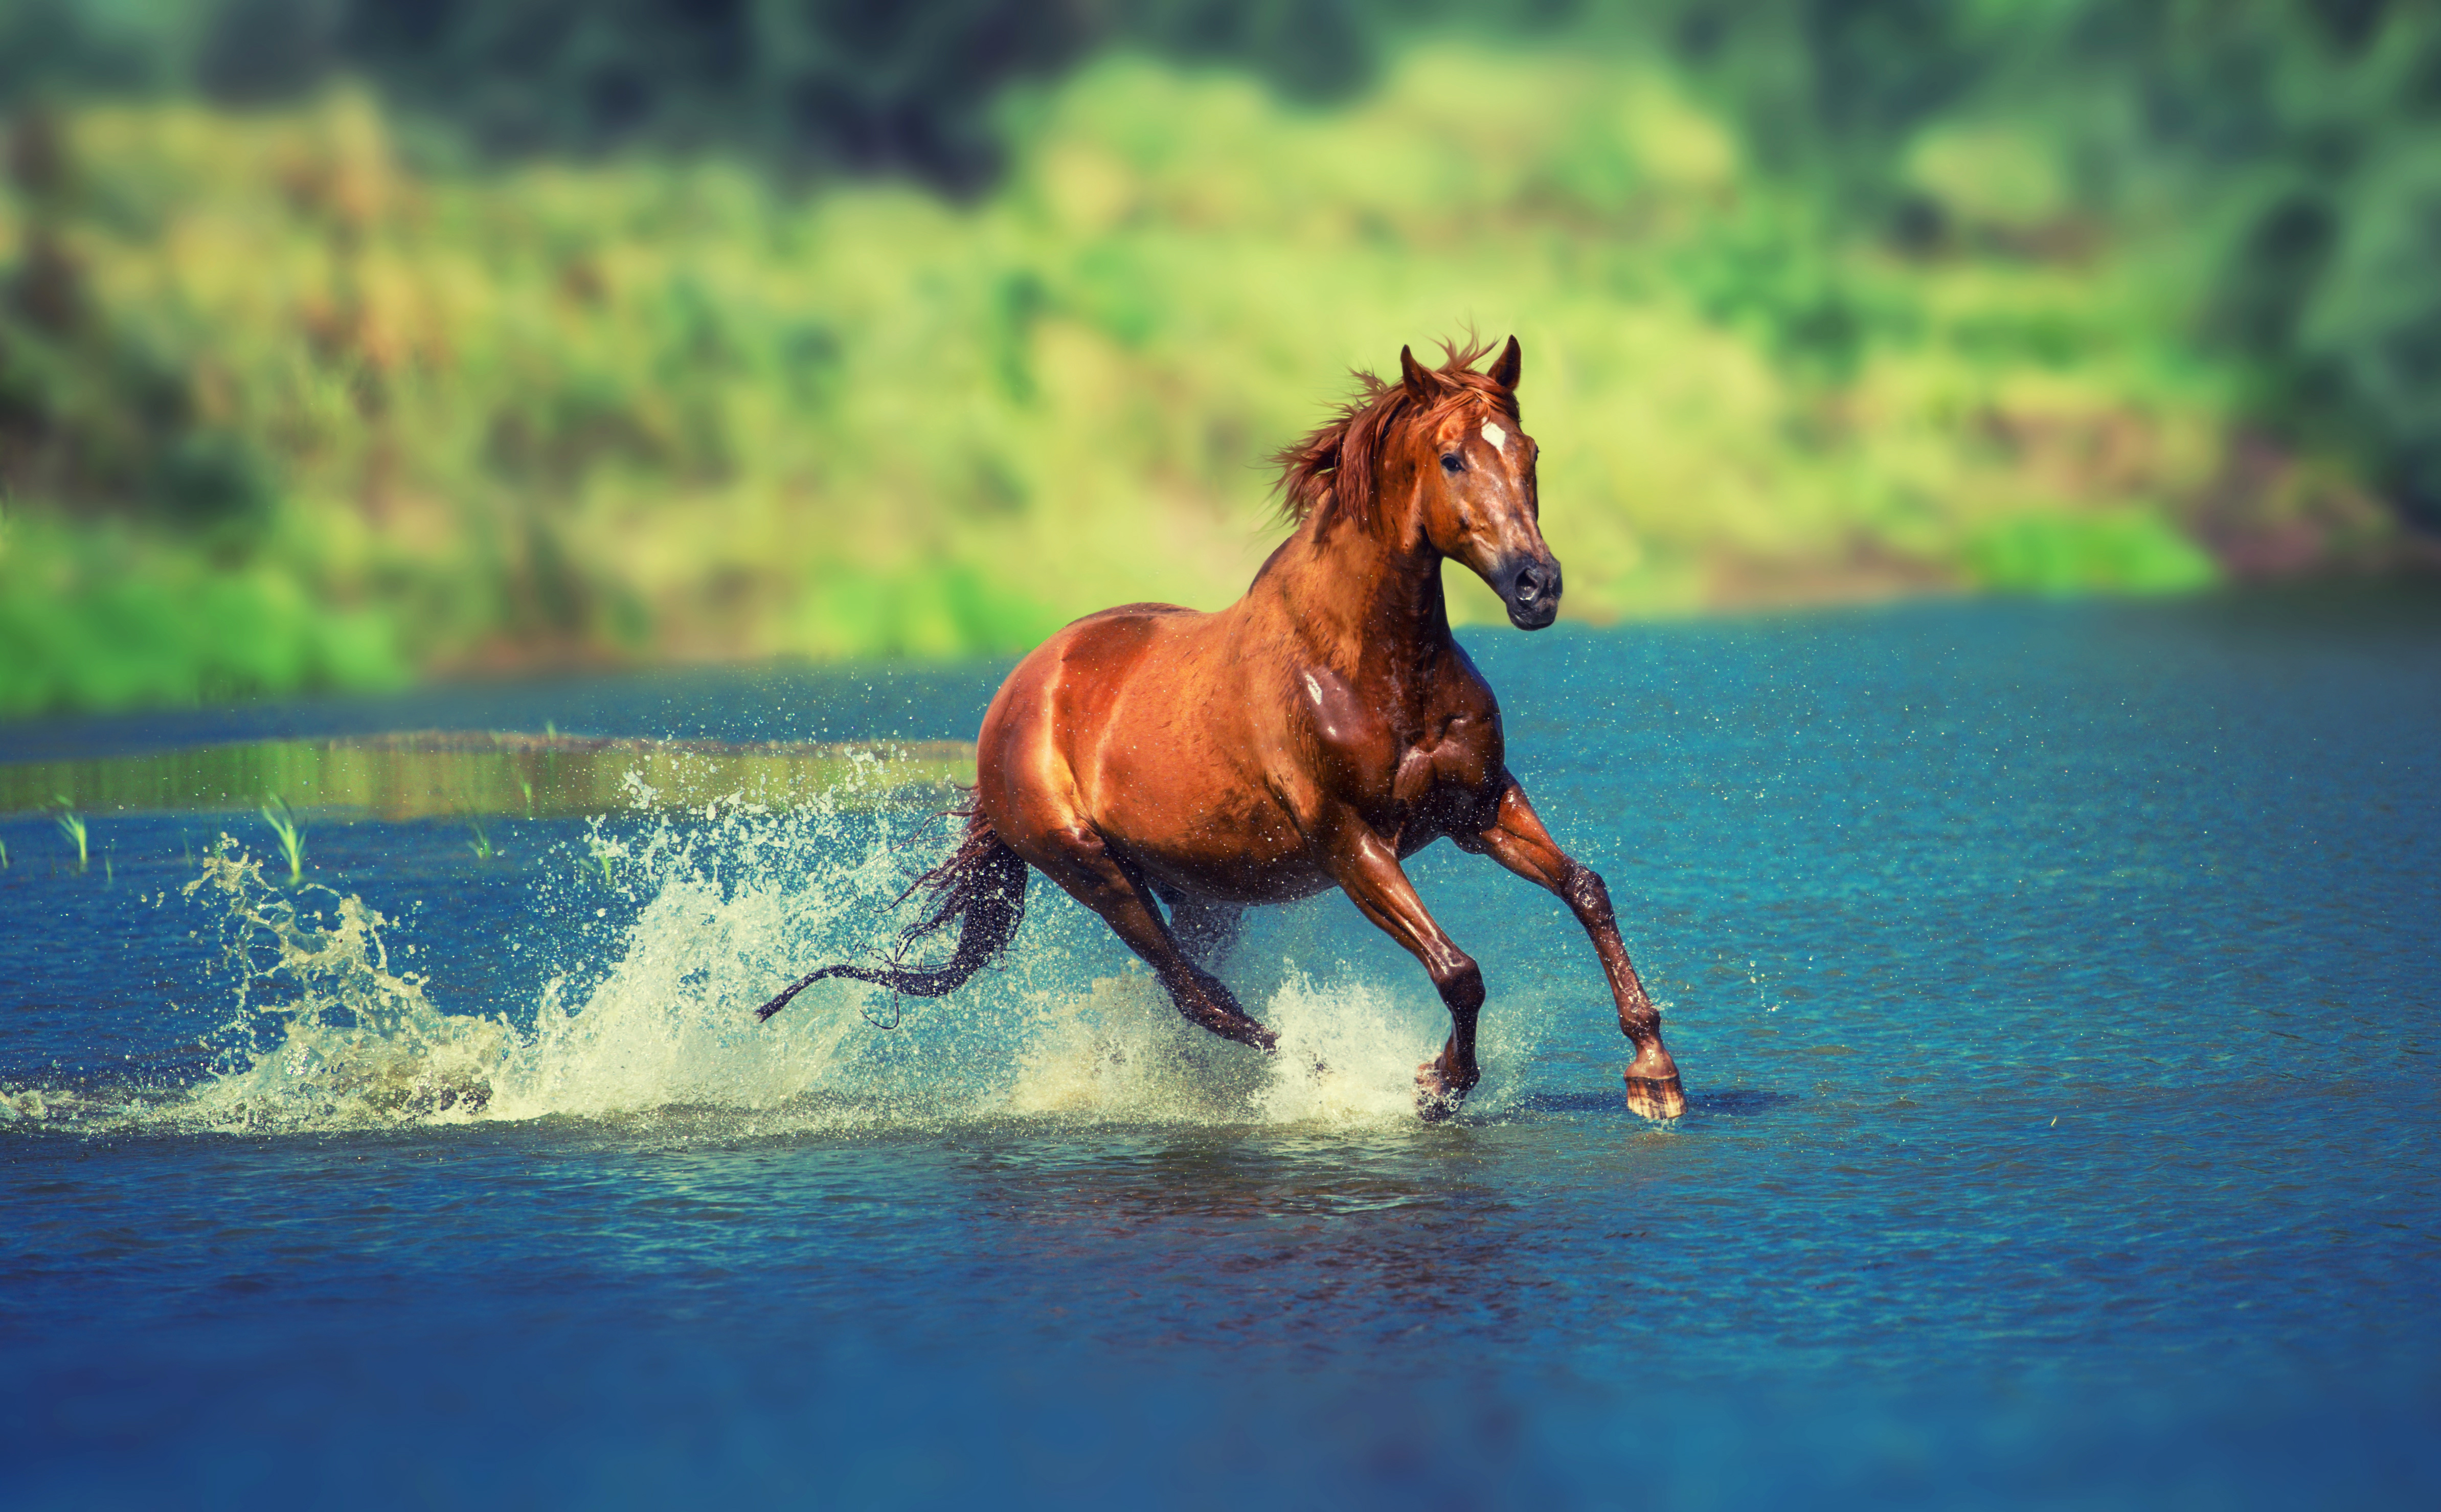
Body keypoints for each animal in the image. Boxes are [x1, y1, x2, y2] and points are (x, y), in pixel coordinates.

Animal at [752, 342, 1689, 1123]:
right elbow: (1457, 970)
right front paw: (1436, 1083)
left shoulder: (1478, 805)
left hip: (1199, 888)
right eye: (1452, 456)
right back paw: (1322, 1075)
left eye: (1528, 453)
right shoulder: (1351, 842)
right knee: (1199, 995)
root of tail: (1014, 699)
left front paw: (1653, 1074)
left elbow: (1586, 889)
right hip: (1093, 871)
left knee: (1197, 992)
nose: (1537, 586)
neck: (1369, 664)